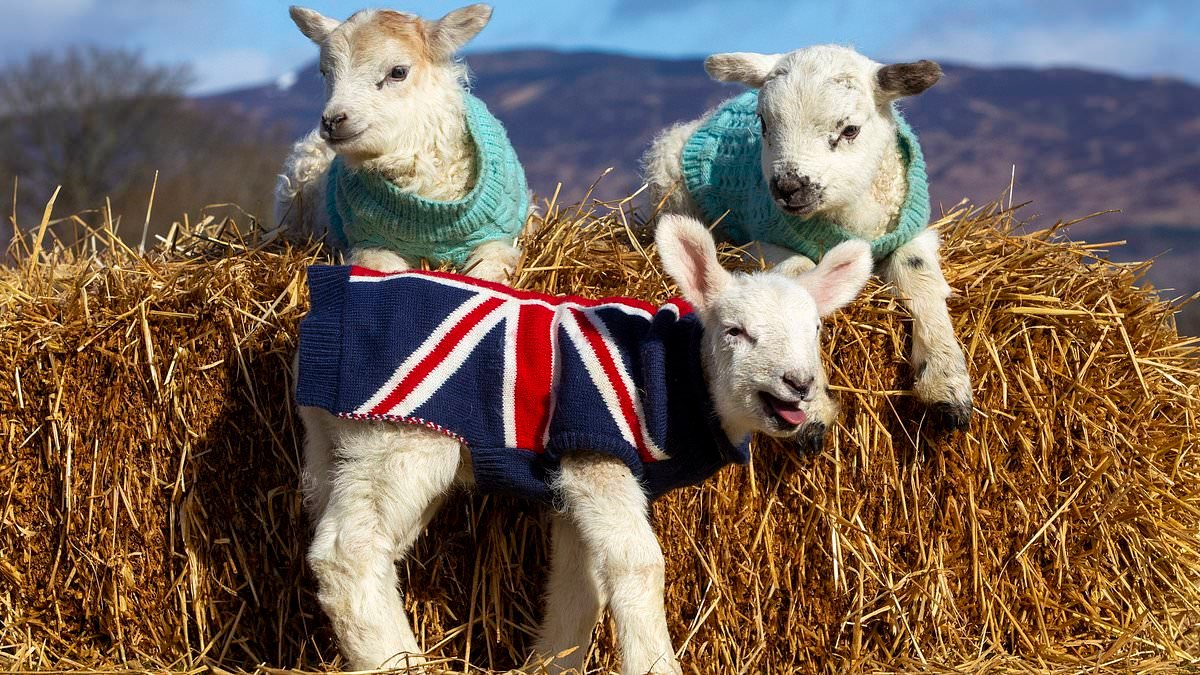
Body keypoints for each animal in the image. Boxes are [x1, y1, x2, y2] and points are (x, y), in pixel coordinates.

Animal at [273, 4, 526, 283]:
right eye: (324, 72)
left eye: (398, 72)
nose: (332, 121)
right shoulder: (372, 244)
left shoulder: (498, 238)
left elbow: (486, 272)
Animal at [293, 214, 874, 673]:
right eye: (735, 331)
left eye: (816, 331)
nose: (799, 383)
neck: (680, 379)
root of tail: (319, 319)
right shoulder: (596, 452)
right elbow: (638, 564)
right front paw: (653, 664)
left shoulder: (575, 481)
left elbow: (580, 580)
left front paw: (552, 662)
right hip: (403, 433)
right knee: (346, 552)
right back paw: (399, 662)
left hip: (343, 448)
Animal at [642, 44, 973, 428]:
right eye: (763, 123)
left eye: (850, 130)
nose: (787, 187)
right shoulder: (760, 240)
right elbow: (797, 271)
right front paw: (811, 411)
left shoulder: (911, 233)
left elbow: (918, 275)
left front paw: (946, 381)